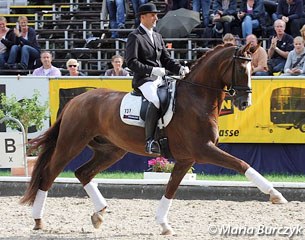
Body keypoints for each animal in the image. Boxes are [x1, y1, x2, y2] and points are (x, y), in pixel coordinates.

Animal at [20, 44, 286, 234]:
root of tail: (76, 100)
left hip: (111, 150)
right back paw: (38, 219)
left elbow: (171, 188)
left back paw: (99, 213)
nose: (245, 103)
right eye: (241, 70)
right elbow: (242, 164)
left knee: (82, 172)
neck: (197, 98)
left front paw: (163, 224)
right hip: (71, 143)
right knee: (49, 174)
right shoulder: (203, 149)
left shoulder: (187, 158)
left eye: (253, 70)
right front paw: (275, 194)